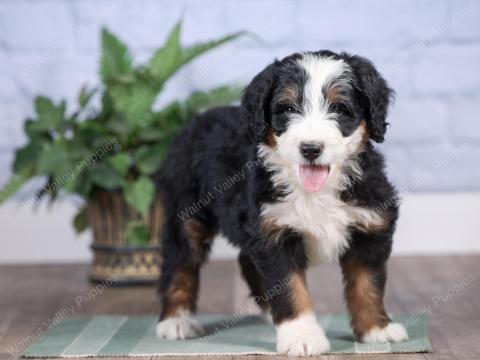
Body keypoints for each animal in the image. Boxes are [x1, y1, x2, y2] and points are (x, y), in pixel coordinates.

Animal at [155, 49, 408, 356]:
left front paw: (376, 329)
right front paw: (303, 337)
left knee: (245, 259)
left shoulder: (370, 227)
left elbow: (367, 284)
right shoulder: (275, 234)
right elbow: (291, 290)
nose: (310, 149)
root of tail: (194, 122)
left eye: (339, 108)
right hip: (186, 211)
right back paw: (176, 320)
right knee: (180, 263)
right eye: (287, 109)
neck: (315, 190)